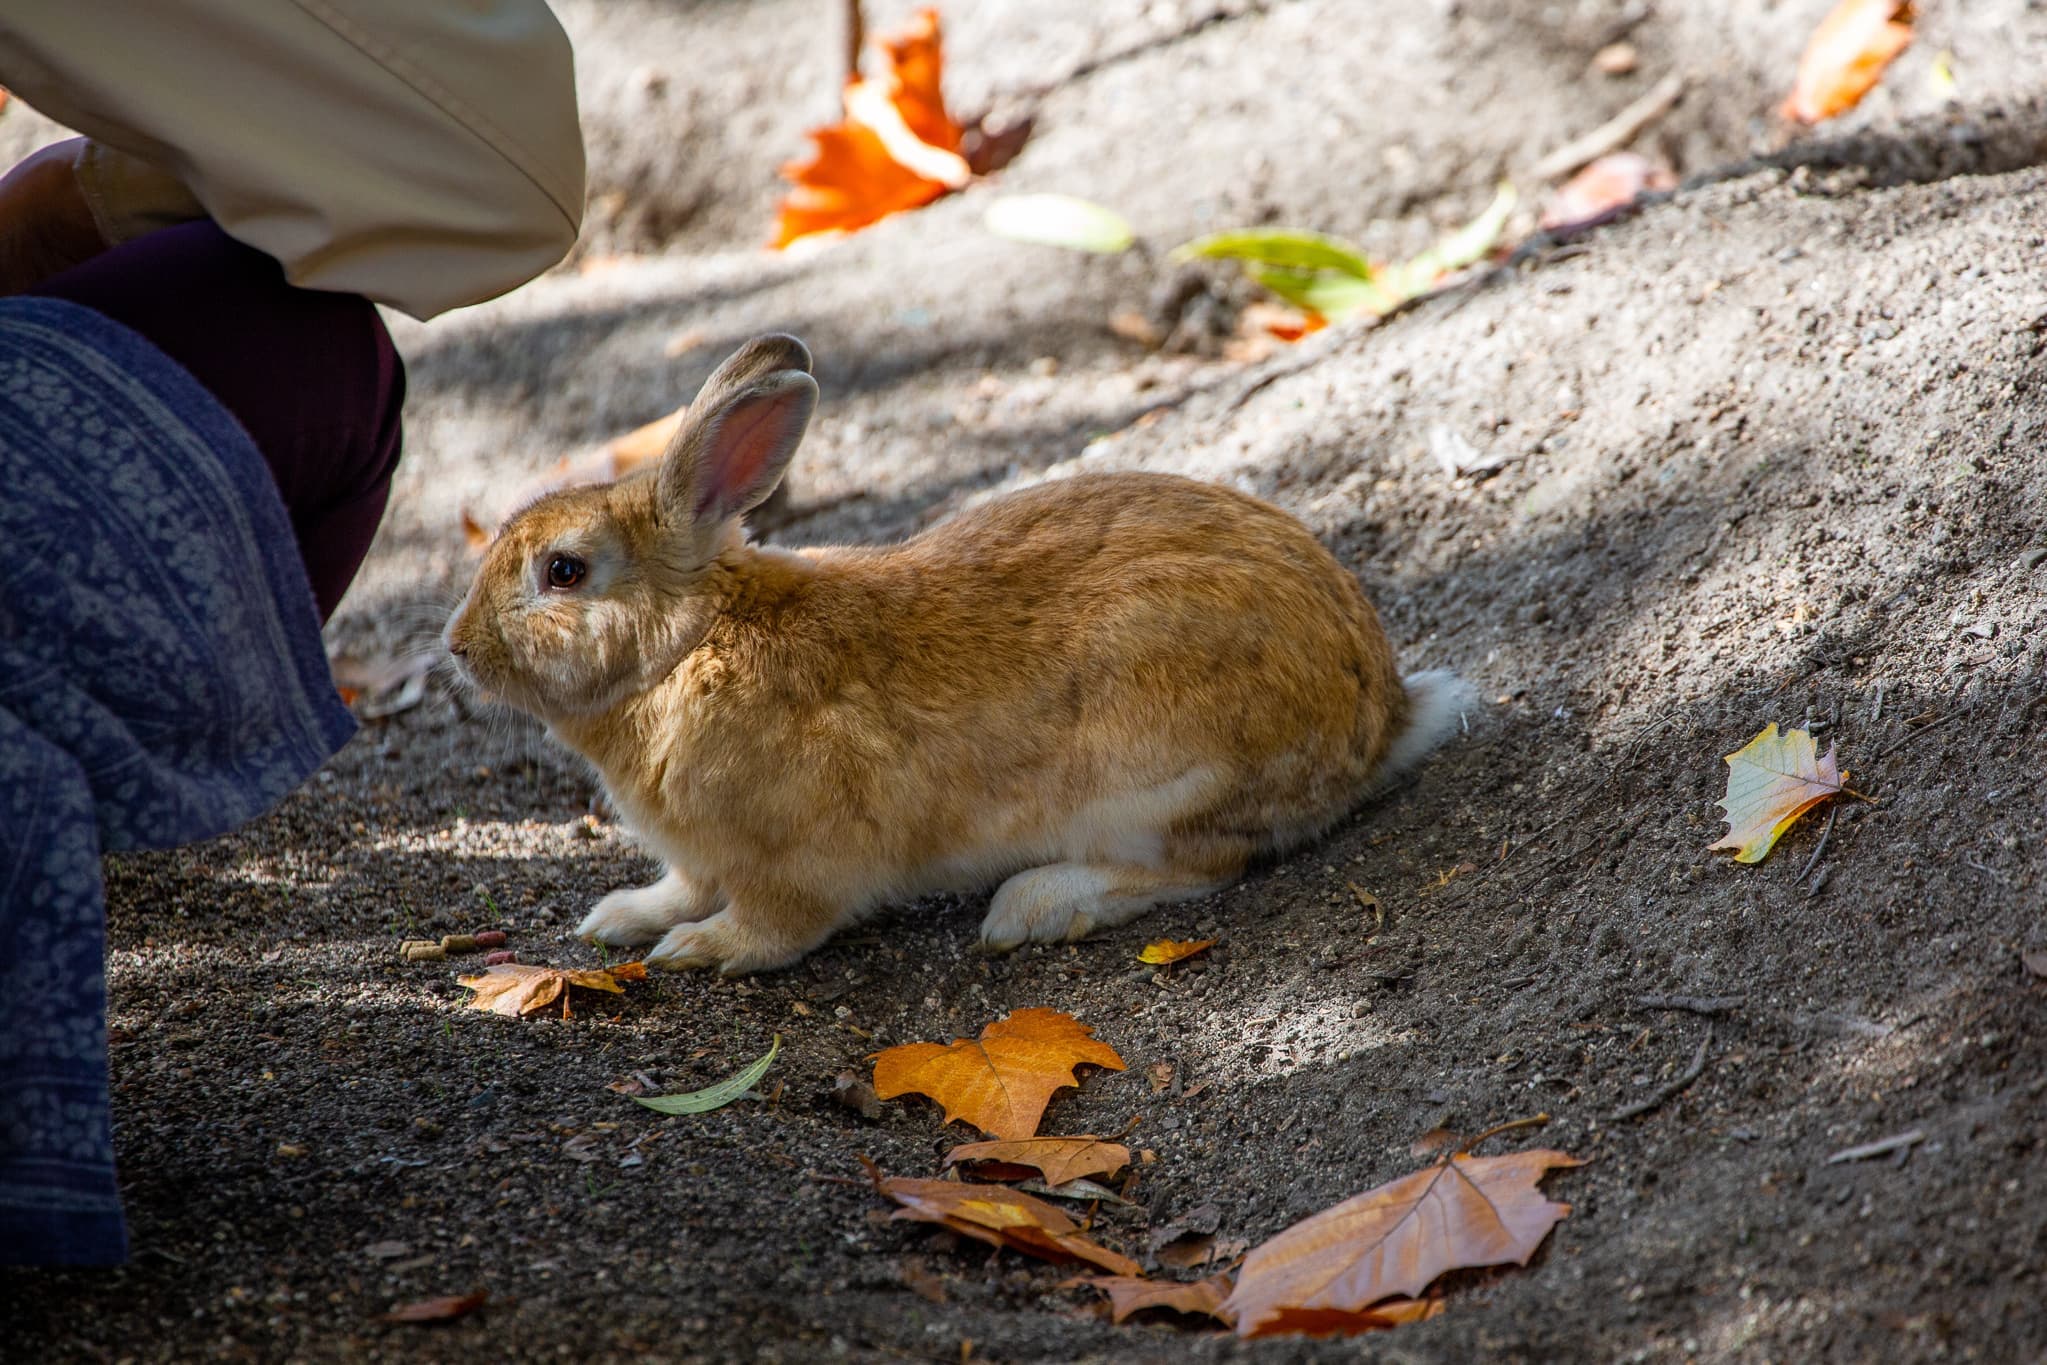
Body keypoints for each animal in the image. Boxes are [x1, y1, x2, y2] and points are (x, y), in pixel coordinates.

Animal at [448, 333, 1473, 970]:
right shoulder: (698, 858)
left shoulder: (796, 858)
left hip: (1154, 776)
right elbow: (679, 888)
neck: (687, 650)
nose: (458, 648)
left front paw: (702, 951)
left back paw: (1030, 908)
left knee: (1203, 864)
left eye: (564, 570)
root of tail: (1379, 715)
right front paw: (619, 918)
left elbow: (776, 924)